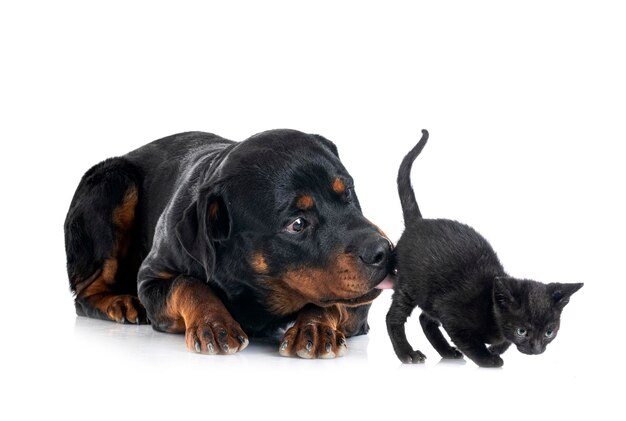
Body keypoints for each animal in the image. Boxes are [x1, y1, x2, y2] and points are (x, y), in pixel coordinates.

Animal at [66, 129, 392, 358]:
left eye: (347, 192)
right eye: (297, 224)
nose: (384, 251)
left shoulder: (358, 308)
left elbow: (333, 300)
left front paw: (315, 325)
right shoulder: (150, 279)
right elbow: (187, 283)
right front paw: (213, 322)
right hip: (113, 182)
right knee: (84, 294)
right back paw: (120, 302)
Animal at [382, 130, 584, 366]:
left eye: (549, 332)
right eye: (522, 330)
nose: (536, 349)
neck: (490, 306)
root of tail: (418, 223)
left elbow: (503, 343)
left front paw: (496, 349)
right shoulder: (451, 313)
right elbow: (470, 342)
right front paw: (489, 359)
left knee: (426, 319)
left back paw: (447, 352)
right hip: (408, 285)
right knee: (394, 317)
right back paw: (407, 354)